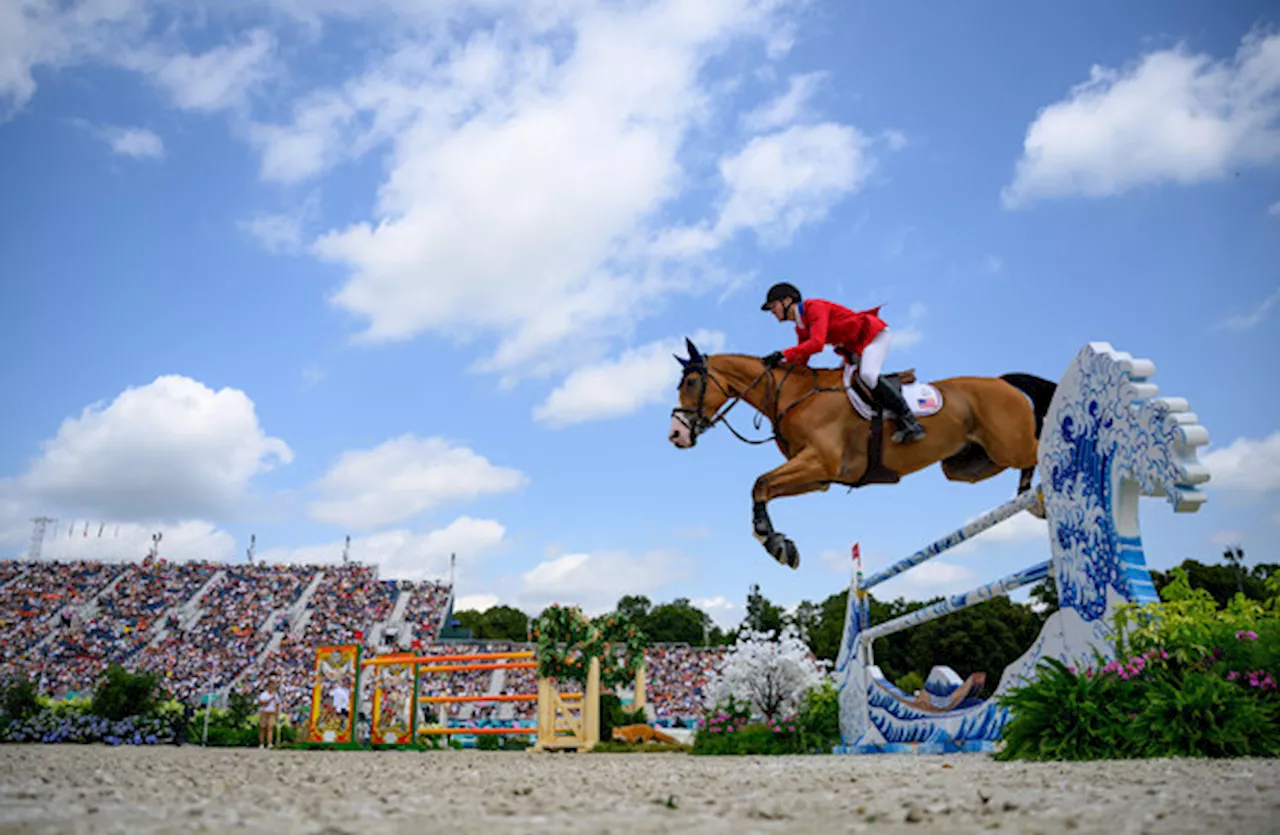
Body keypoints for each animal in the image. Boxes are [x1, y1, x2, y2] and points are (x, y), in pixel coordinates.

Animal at [665, 338, 1054, 568]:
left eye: (692, 383)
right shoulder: (820, 476)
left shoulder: (819, 461)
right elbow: (763, 487)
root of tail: (1004, 381)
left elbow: (759, 482)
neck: (793, 394)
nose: (676, 435)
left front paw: (773, 542)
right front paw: (778, 542)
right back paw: (1030, 500)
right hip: (968, 463)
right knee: (1018, 465)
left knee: (1039, 448)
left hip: (1009, 444)